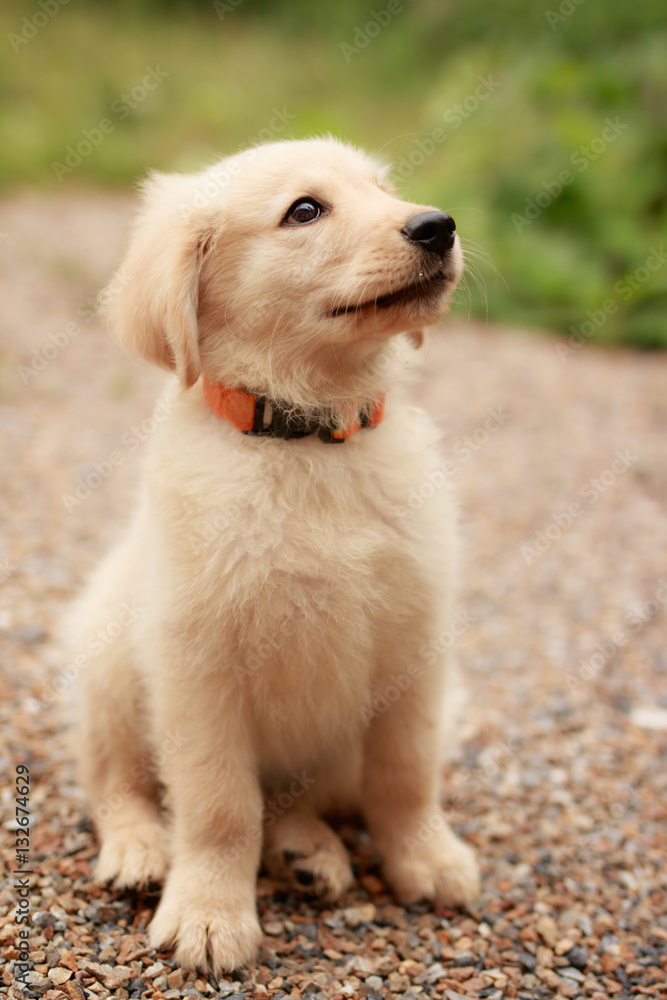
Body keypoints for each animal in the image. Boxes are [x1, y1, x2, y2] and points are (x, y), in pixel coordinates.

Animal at [70, 137, 480, 972]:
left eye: (382, 190)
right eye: (304, 211)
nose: (436, 226)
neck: (309, 438)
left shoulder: (414, 643)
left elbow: (405, 774)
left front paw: (426, 859)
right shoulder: (196, 665)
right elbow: (220, 805)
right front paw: (208, 915)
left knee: (298, 795)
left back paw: (307, 852)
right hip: (108, 660)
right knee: (116, 781)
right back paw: (138, 850)